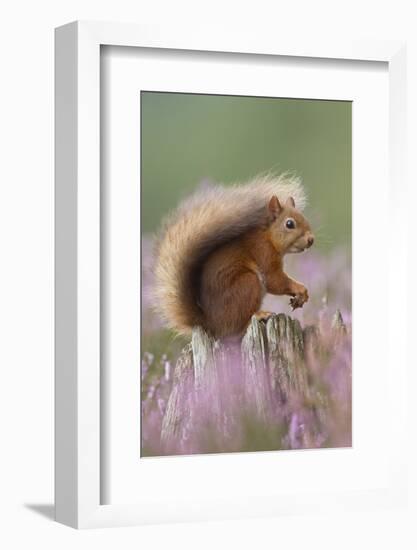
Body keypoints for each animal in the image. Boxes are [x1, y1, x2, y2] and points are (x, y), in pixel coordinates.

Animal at [154, 176, 314, 340]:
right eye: (289, 224)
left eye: (304, 218)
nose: (311, 239)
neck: (268, 237)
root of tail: (212, 326)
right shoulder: (263, 253)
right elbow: (275, 281)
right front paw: (300, 288)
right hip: (248, 284)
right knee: (238, 327)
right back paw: (259, 315)